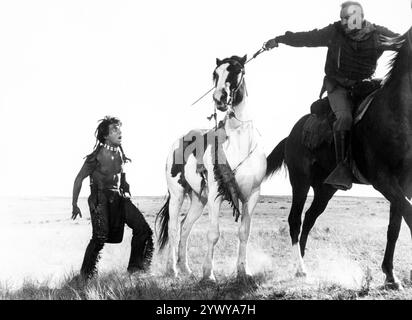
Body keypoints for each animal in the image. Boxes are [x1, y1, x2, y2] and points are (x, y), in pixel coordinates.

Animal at [155, 56, 268, 282]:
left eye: (238, 70)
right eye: (215, 73)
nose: (219, 98)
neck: (239, 142)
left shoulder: (251, 195)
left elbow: (244, 232)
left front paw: (243, 271)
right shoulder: (217, 192)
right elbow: (213, 234)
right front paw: (208, 274)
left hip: (199, 199)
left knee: (185, 227)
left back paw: (186, 269)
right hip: (177, 194)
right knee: (173, 228)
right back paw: (172, 269)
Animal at [266, 27, 410, 288]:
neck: (396, 112)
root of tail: (291, 134)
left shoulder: (402, 184)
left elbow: (395, 226)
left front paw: (390, 276)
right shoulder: (383, 181)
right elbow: (408, 215)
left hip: (325, 189)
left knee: (309, 218)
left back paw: (302, 264)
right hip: (300, 182)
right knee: (295, 220)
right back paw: (300, 269)